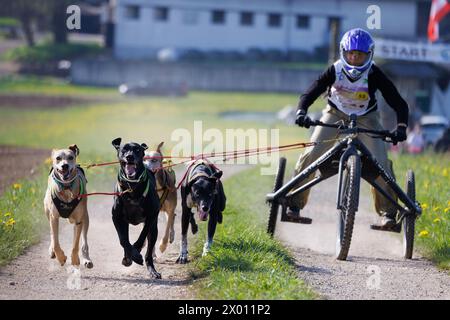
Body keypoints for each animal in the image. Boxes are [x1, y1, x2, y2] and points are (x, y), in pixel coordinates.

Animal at [111, 138, 162, 278]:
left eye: (137, 150)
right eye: (124, 149)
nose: (130, 156)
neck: (132, 187)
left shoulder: (151, 215)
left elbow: (143, 234)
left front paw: (137, 250)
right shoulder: (117, 218)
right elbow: (123, 240)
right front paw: (131, 256)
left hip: (154, 230)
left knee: (149, 251)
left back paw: (152, 270)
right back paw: (128, 257)